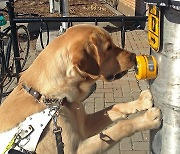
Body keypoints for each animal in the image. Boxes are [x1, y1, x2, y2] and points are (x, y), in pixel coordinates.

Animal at [0, 24, 161, 153]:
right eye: (108, 48)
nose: (133, 56)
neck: (48, 97)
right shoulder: (76, 149)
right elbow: (121, 127)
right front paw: (147, 119)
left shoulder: (85, 124)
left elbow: (115, 106)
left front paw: (141, 102)